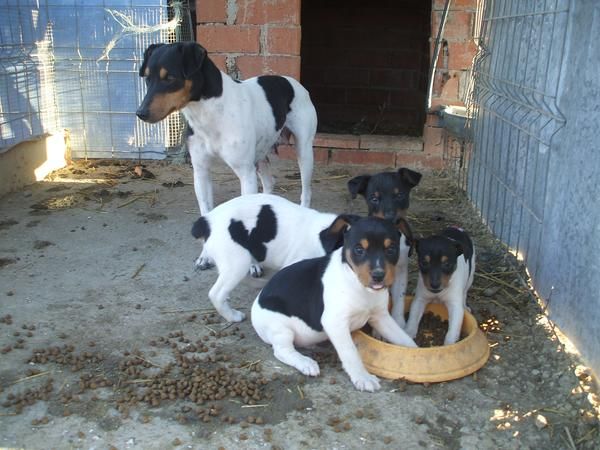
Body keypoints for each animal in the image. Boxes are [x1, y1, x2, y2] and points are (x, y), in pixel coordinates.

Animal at [137, 40, 318, 214]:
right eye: (147, 78)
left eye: (169, 78)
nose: (140, 113)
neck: (208, 113)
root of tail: (294, 83)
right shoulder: (201, 171)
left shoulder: (246, 174)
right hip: (260, 155)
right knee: (269, 183)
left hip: (304, 152)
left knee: (306, 191)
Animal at [250, 216, 418, 392]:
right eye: (359, 250)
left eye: (391, 249)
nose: (378, 276)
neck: (358, 284)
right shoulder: (335, 323)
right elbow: (350, 352)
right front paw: (363, 377)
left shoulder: (381, 317)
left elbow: (405, 340)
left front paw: (417, 356)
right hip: (280, 327)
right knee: (282, 351)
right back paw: (305, 363)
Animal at [346, 167, 422, 326]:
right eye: (374, 199)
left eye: (399, 195)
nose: (390, 219)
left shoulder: (400, 269)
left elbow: (399, 298)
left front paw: (398, 322)